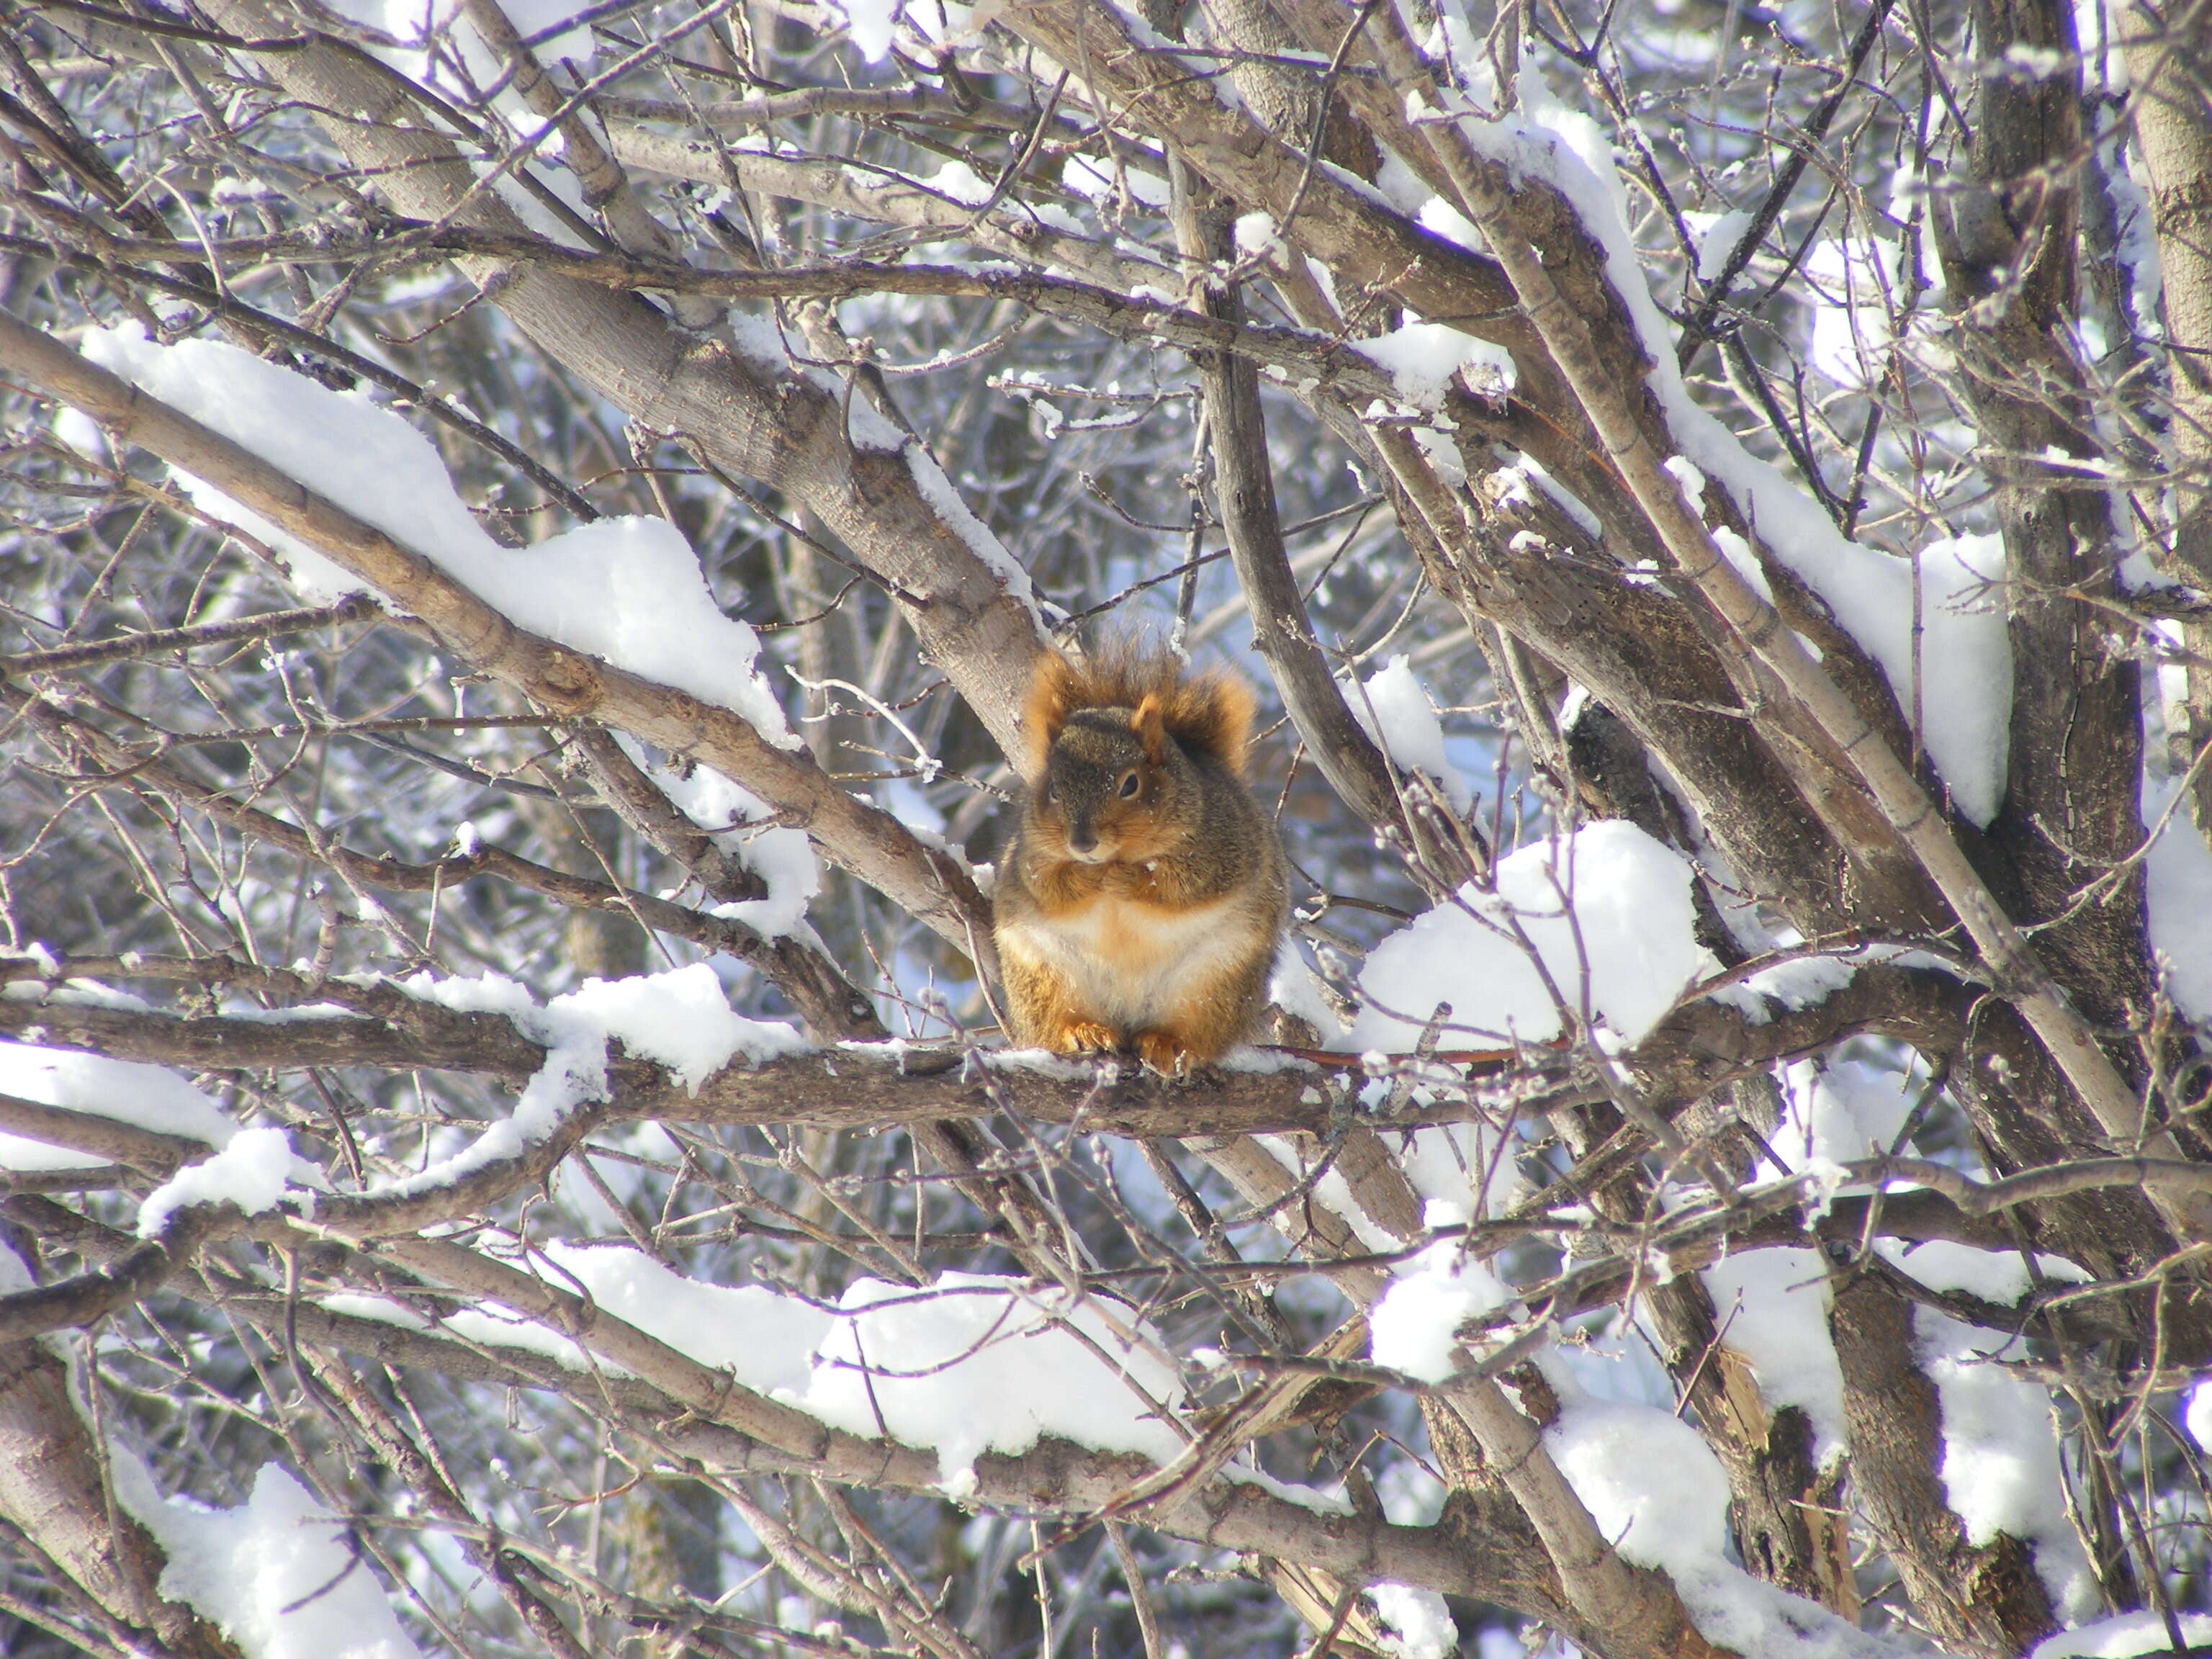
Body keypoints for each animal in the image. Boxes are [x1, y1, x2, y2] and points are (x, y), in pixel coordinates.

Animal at [995, 637, 1292, 1079]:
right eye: (1052, 788)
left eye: (1130, 784)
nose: (1083, 843)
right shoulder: (1031, 857)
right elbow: (1050, 888)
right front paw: (1089, 879)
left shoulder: (1219, 851)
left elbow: (1180, 888)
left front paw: (1126, 879)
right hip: (1043, 974)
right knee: (1056, 1021)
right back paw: (1085, 1031)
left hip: (1215, 982)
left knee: (1193, 1030)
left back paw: (1166, 1043)